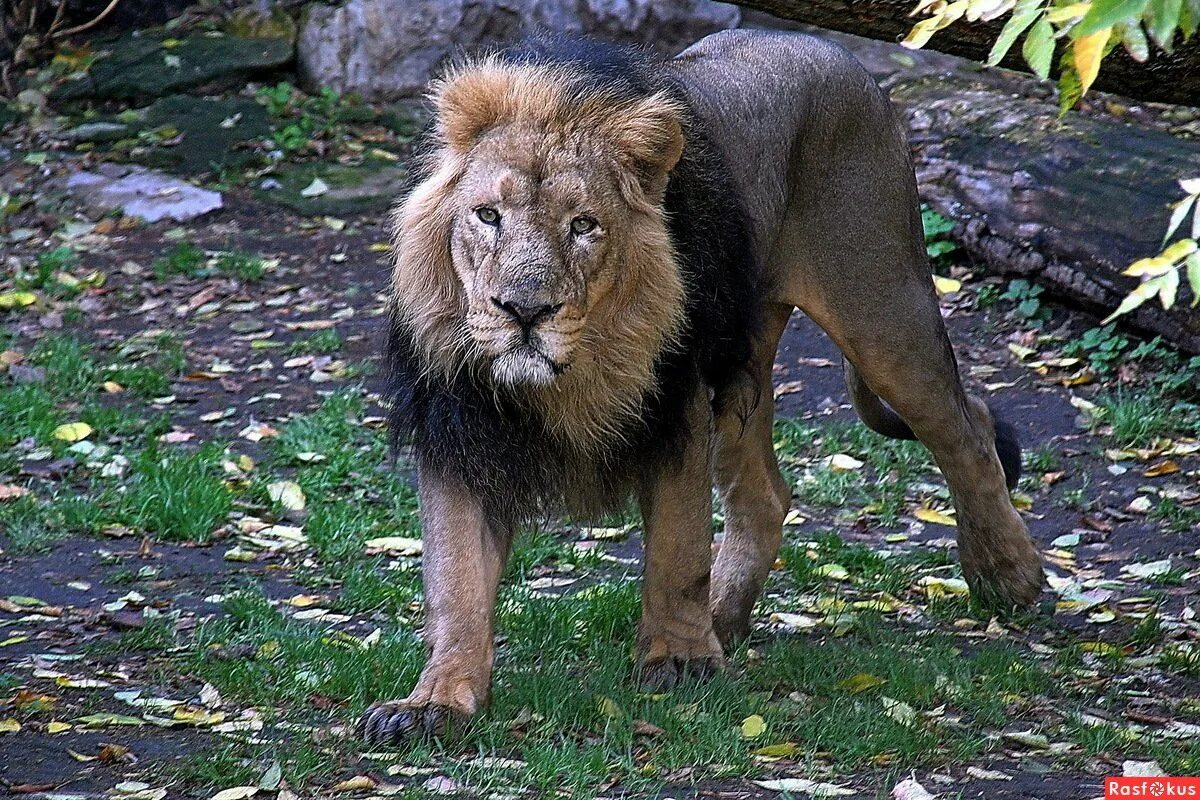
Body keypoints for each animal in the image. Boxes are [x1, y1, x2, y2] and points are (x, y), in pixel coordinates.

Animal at [360, 29, 1046, 743]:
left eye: (584, 225)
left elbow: (678, 545)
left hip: (882, 307)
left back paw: (1007, 576)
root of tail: (818, 45)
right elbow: (456, 578)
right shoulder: (459, 425)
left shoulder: (677, 402)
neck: (573, 376)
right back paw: (724, 618)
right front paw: (434, 703)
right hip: (749, 362)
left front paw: (680, 660)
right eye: (487, 216)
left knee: (967, 432)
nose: (524, 310)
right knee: (767, 495)